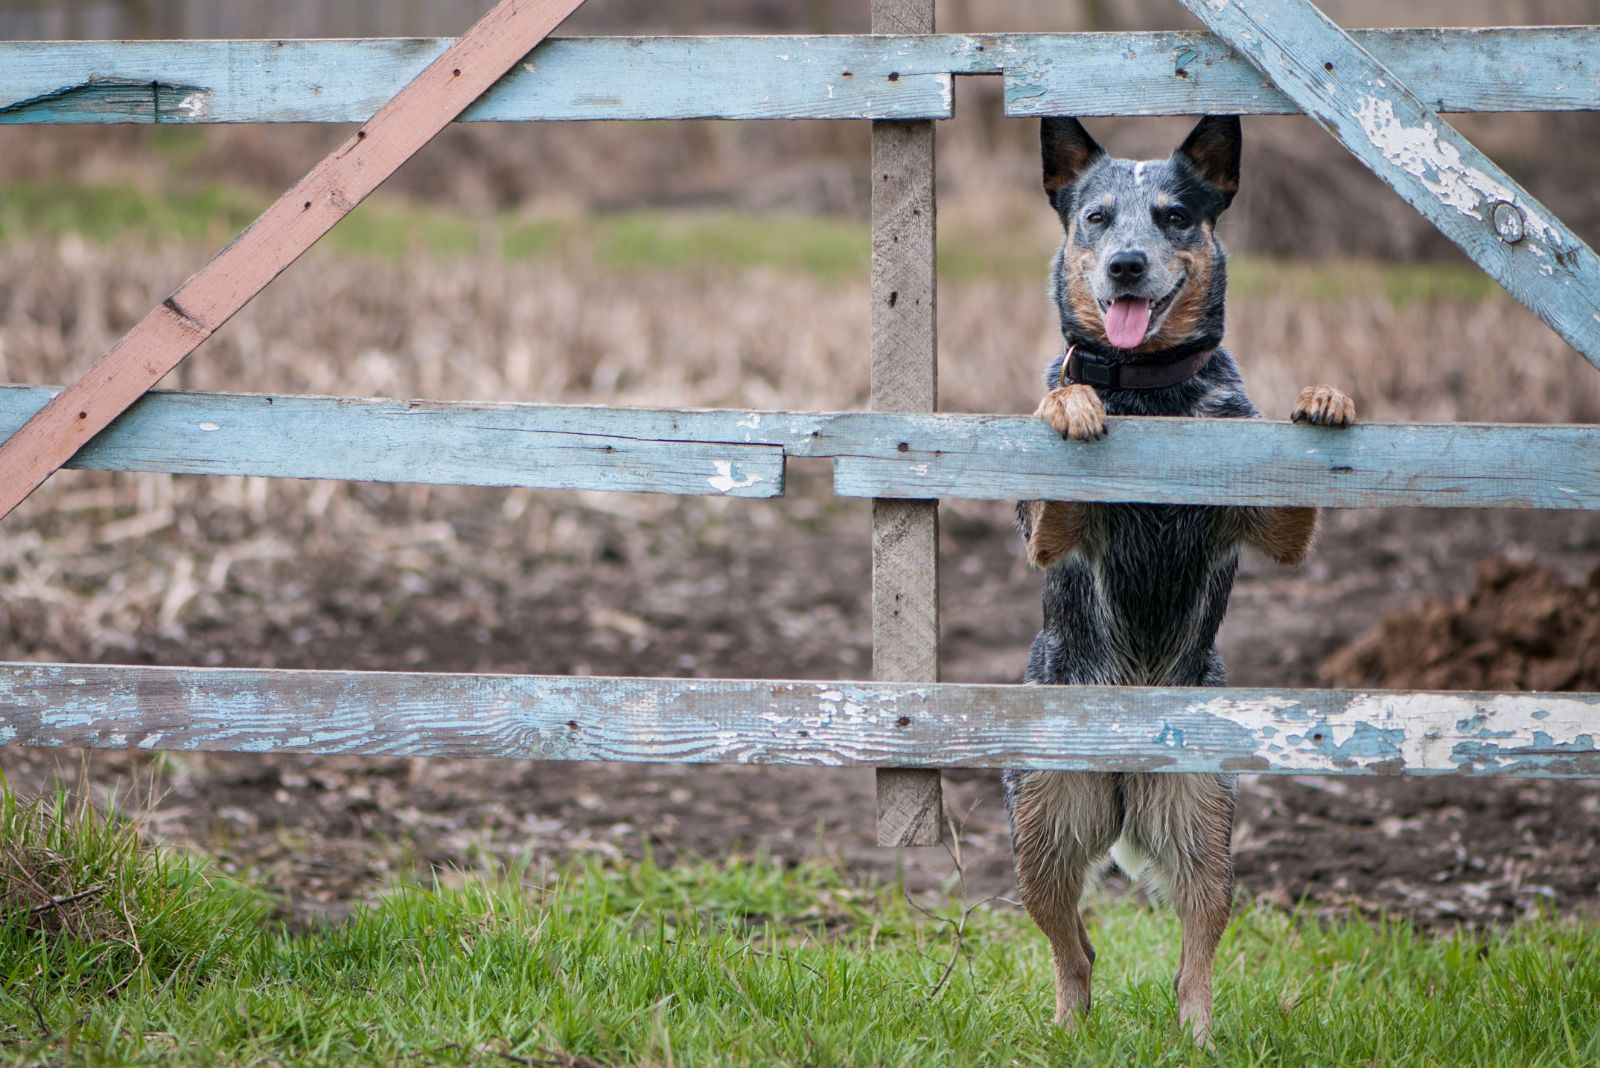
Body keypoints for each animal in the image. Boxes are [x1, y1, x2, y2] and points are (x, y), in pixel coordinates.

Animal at [1004, 116, 1356, 1042]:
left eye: (1172, 216)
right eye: (1097, 218)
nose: (1127, 263)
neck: (1151, 400)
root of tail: (1126, 767)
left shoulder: (1264, 524)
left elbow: (1291, 504)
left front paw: (1326, 397)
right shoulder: (1049, 536)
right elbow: (1060, 436)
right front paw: (1071, 403)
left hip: (1203, 816)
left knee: (1194, 950)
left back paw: (1197, 1034)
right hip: (1042, 823)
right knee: (1075, 949)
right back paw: (1068, 1029)